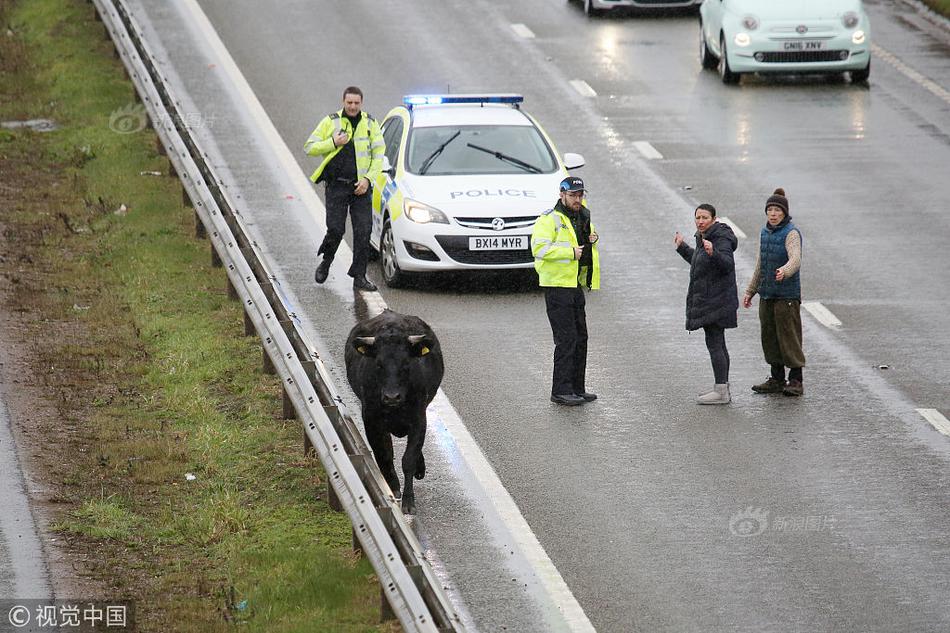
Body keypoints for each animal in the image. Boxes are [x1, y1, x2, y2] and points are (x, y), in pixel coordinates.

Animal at [344, 312, 444, 512]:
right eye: (378, 364)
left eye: (406, 363)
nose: (392, 397)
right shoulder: (371, 420)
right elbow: (384, 455)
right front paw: (393, 488)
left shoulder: (419, 419)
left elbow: (409, 459)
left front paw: (409, 502)